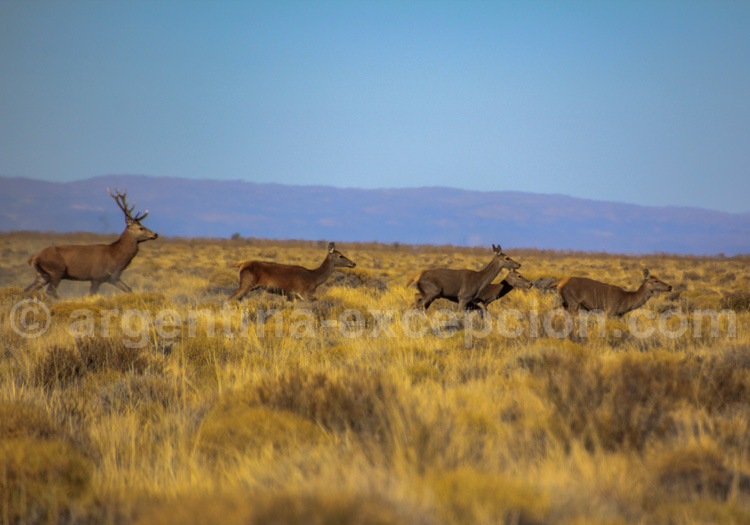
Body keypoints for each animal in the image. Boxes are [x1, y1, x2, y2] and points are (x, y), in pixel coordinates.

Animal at [25, 188, 158, 298]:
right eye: (141, 228)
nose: (155, 234)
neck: (116, 257)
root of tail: (35, 256)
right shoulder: (96, 277)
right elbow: (91, 294)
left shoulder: (113, 277)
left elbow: (129, 290)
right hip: (56, 270)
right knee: (50, 291)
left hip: (42, 275)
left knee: (28, 289)